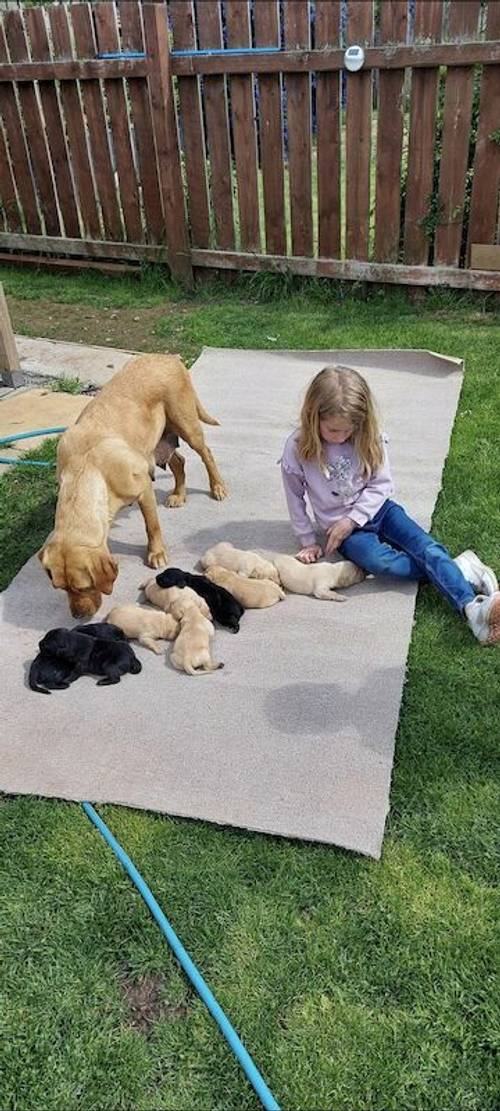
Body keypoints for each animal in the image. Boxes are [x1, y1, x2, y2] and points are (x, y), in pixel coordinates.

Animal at [39, 353, 226, 622]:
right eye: (61, 588)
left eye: (84, 587)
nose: (78, 616)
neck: (86, 467)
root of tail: (169, 357)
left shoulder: (143, 487)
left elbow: (152, 525)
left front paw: (156, 554)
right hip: (158, 443)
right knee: (179, 462)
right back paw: (178, 494)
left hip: (187, 426)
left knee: (206, 454)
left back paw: (218, 487)